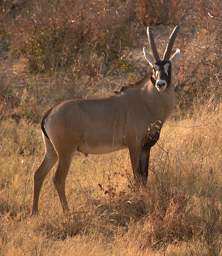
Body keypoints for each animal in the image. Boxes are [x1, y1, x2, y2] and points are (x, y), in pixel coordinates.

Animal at [31, 25, 180, 214]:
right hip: (65, 151)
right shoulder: (134, 146)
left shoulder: (146, 148)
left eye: (169, 66)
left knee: (39, 174)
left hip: (51, 151)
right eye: (154, 67)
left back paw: (34, 212)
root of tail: (49, 113)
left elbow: (145, 177)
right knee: (58, 179)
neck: (147, 100)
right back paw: (67, 212)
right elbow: (137, 176)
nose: (160, 83)